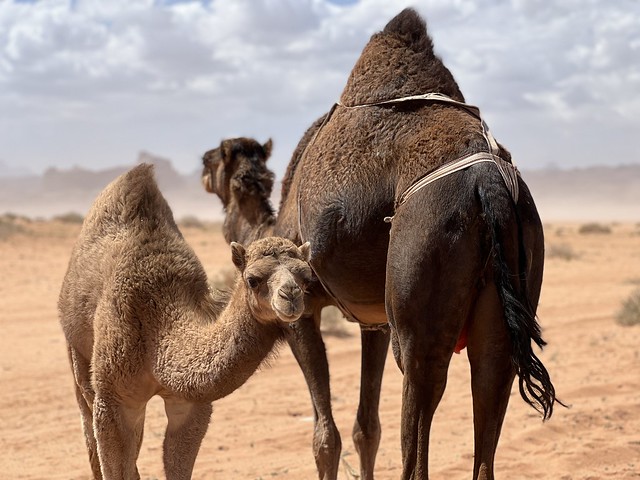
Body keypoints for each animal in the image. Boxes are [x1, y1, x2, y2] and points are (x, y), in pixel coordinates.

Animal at [58, 163, 314, 478]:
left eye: (306, 278)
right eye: (253, 279)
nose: (290, 296)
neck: (157, 337)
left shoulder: (190, 405)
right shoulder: (114, 397)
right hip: (77, 347)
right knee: (87, 415)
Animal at [202, 137, 390, 478]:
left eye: (212, 160)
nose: (204, 163)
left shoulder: (300, 316)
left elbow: (325, 437)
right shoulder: (373, 315)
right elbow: (367, 428)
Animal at [272, 8, 564, 480]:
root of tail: (488, 181)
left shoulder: (300, 302)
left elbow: (326, 438)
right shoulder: (374, 319)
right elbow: (365, 428)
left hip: (422, 288)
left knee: (423, 384)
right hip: (513, 276)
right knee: (490, 376)